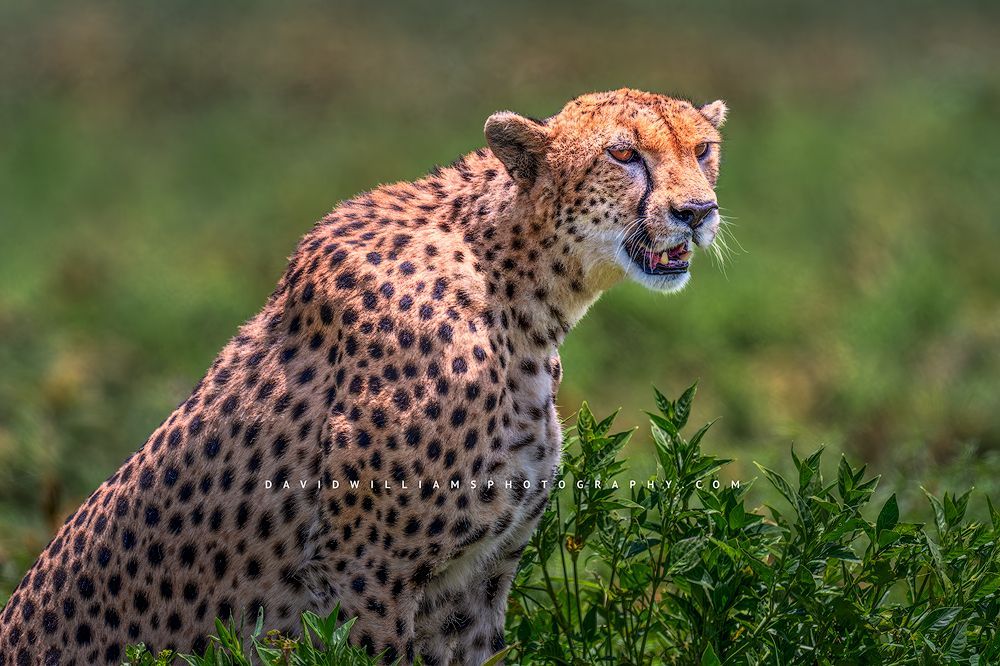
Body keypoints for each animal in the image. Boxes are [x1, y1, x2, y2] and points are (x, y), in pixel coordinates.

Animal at [0, 88, 727, 666]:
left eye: (704, 150)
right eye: (623, 154)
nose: (698, 212)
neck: (520, 290)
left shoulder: (474, 584)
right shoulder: (364, 576)